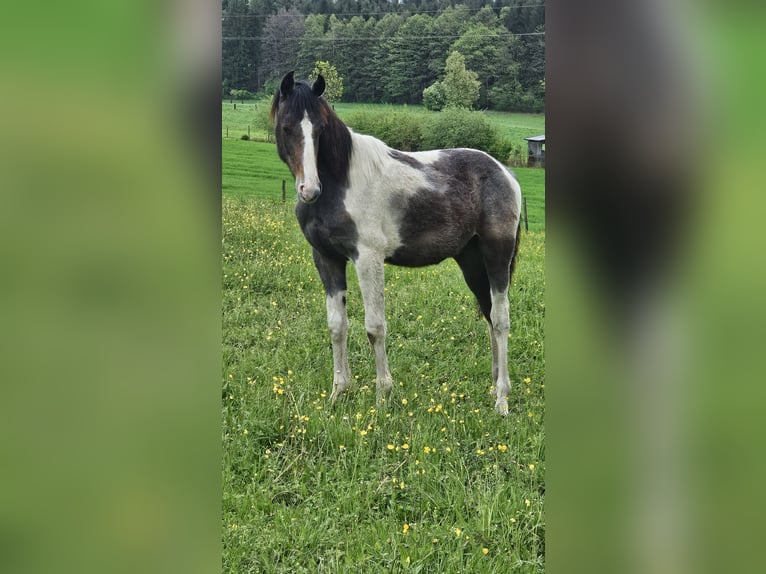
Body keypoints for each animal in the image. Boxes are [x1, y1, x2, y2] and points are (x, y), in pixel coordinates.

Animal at [270, 71, 522, 415]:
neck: (339, 182)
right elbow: (337, 326)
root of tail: (505, 173)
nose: (309, 189)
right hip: (471, 261)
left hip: (497, 256)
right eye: (286, 127)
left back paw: (501, 400)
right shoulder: (326, 258)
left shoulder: (367, 258)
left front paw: (382, 397)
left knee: (500, 320)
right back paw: (493, 388)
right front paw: (338, 394)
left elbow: (375, 327)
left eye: (320, 129)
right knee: (488, 316)